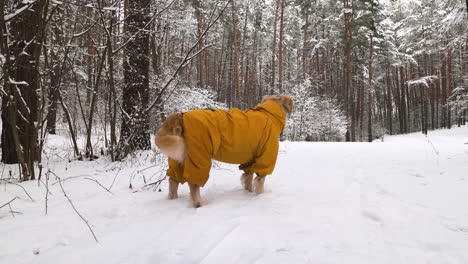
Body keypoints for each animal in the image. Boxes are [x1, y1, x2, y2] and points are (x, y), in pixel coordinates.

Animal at [154, 94, 292, 207]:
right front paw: (260, 196)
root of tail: (181, 115)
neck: (268, 114)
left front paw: (248, 192)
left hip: (177, 160)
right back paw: (200, 203)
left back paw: (172, 199)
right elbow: (259, 180)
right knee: (193, 184)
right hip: (199, 156)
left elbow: (247, 177)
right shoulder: (265, 156)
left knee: (173, 180)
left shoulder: (250, 160)